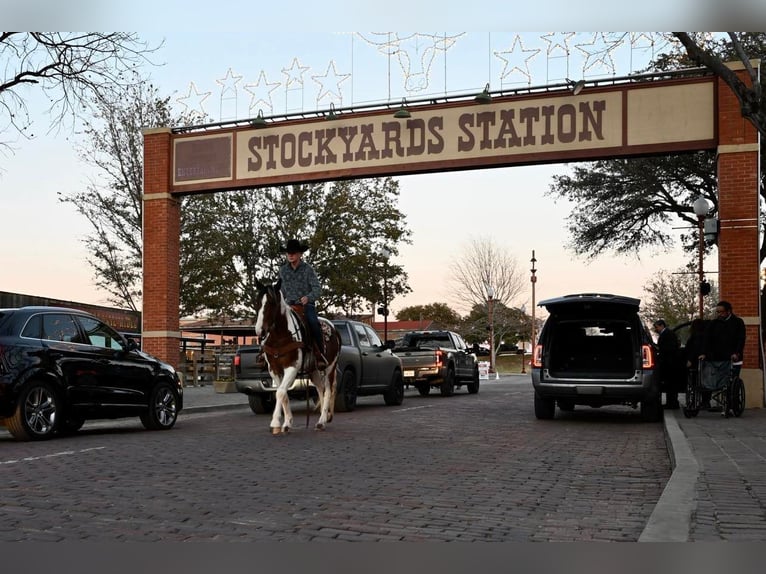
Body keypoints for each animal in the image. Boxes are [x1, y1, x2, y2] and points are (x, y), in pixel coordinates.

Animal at [255, 280, 342, 436]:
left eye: (272, 303)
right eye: (258, 302)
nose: (260, 330)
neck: (280, 337)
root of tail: (334, 329)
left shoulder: (292, 367)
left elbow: (280, 392)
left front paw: (276, 423)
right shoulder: (274, 369)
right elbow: (282, 393)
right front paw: (286, 423)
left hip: (329, 368)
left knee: (327, 390)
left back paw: (322, 421)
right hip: (313, 371)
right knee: (320, 388)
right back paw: (322, 417)